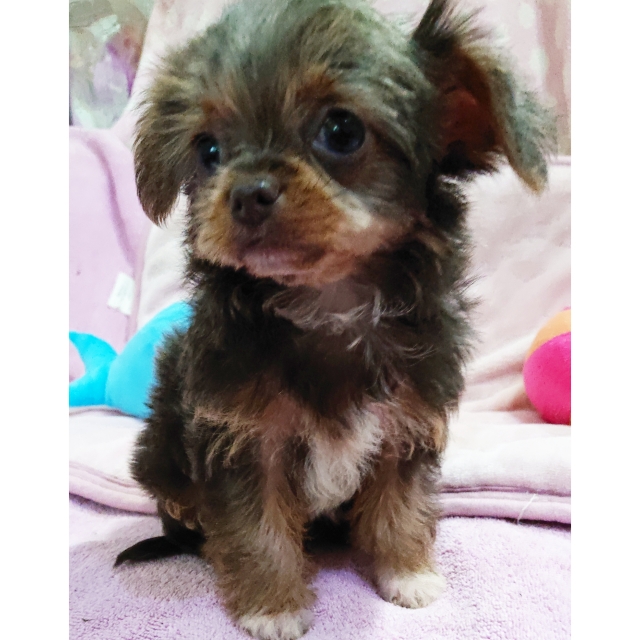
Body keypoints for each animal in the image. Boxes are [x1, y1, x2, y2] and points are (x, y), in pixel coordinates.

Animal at [115, 0, 554, 637]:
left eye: (342, 131)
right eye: (208, 151)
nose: (245, 192)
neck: (326, 301)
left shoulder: (408, 422)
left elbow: (401, 503)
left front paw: (406, 573)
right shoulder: (243, 437)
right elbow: (256, 527)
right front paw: (272, 605)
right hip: (161, 436)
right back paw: (185, 509)